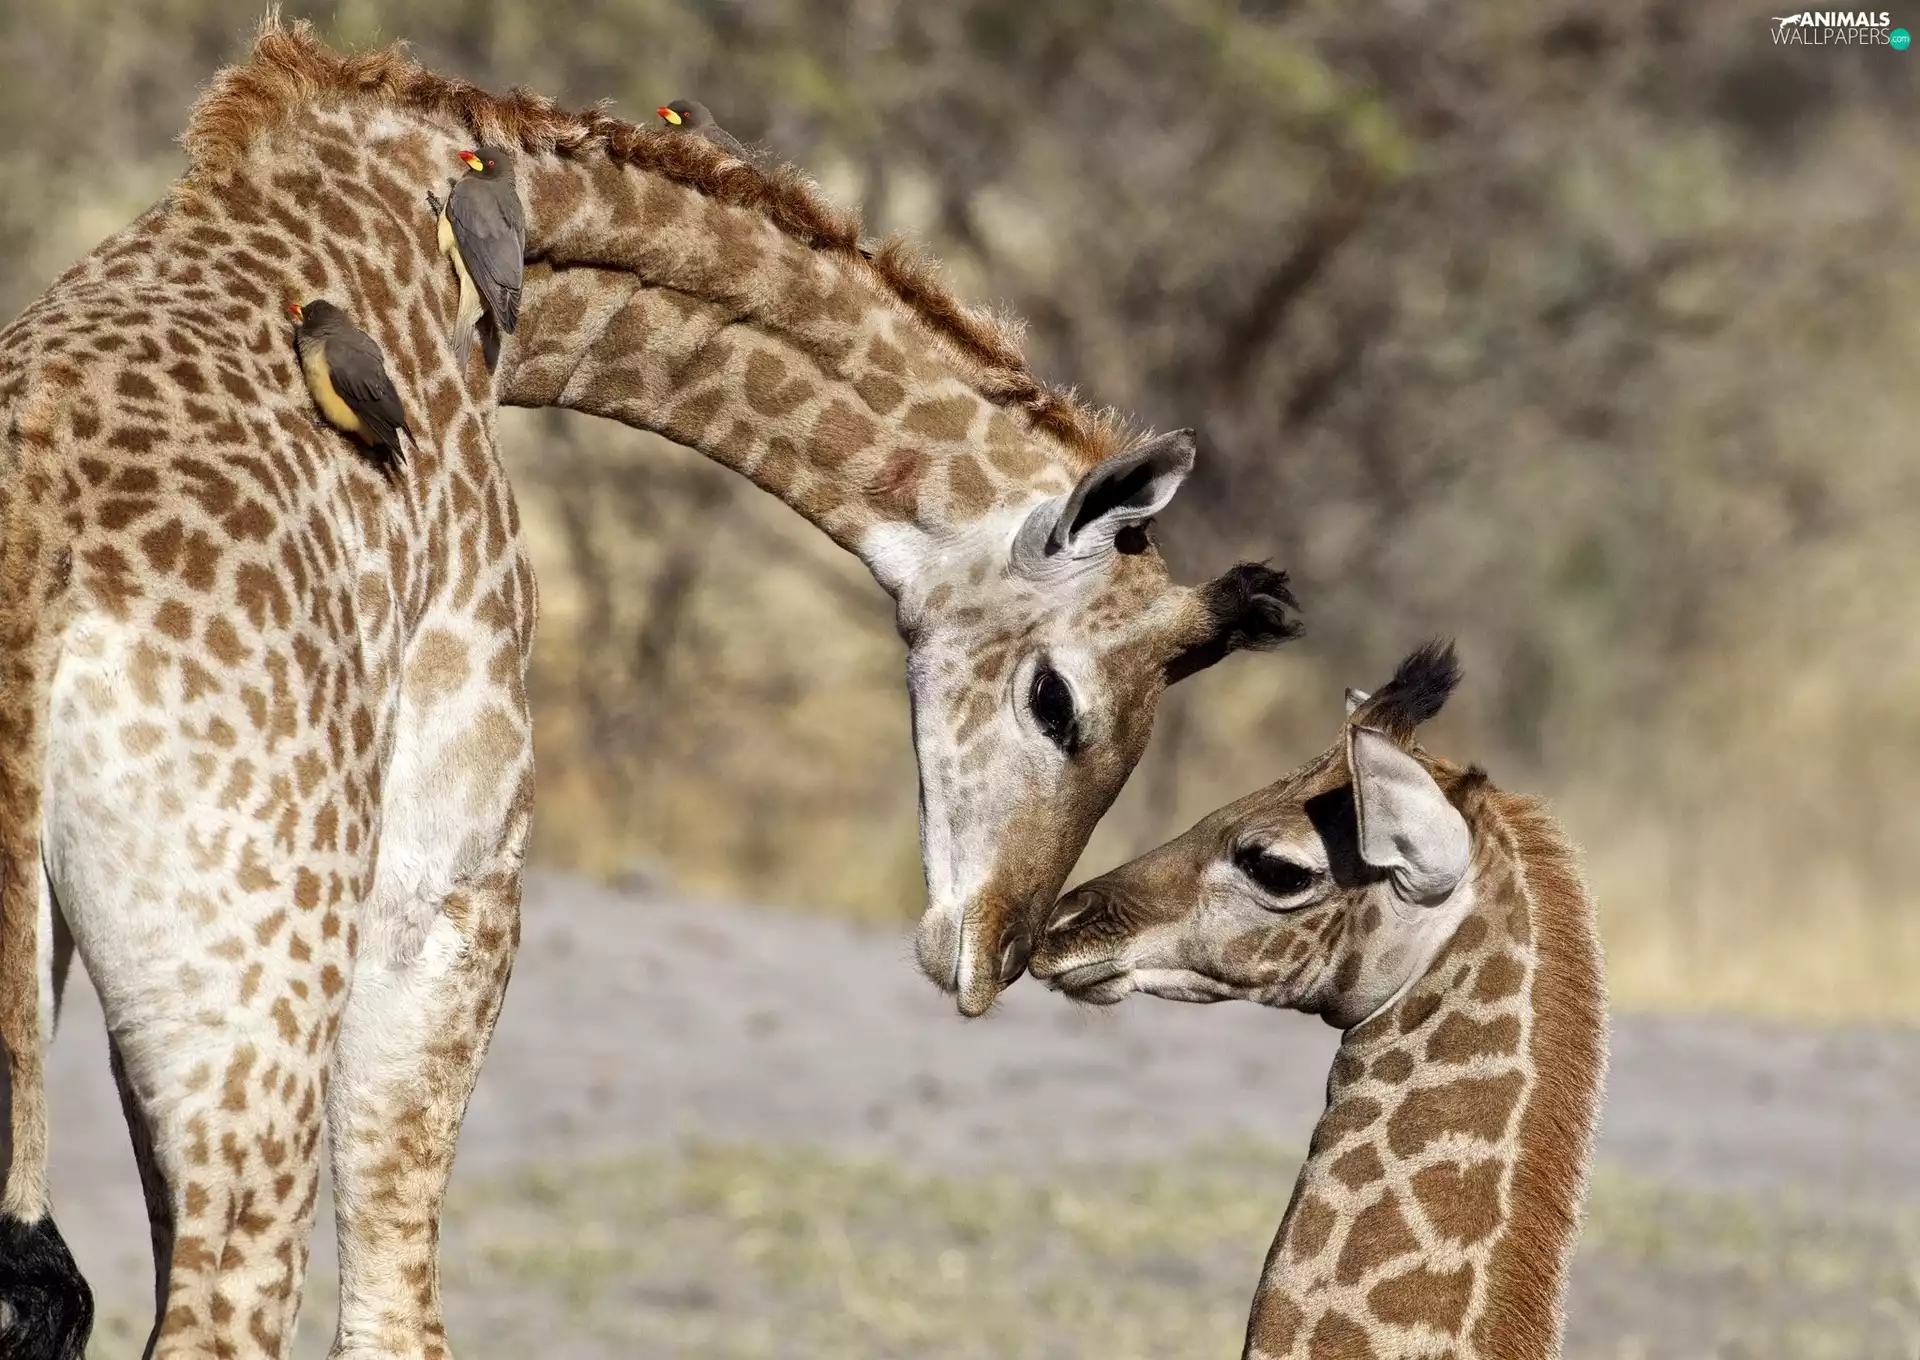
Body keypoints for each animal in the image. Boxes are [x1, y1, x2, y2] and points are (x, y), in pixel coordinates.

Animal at [0, 20, 1302, 1360]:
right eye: (1058, 702)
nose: (991, 952)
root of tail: (37, 559)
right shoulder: (454, 873)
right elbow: (396, 1301)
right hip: (261, 989)